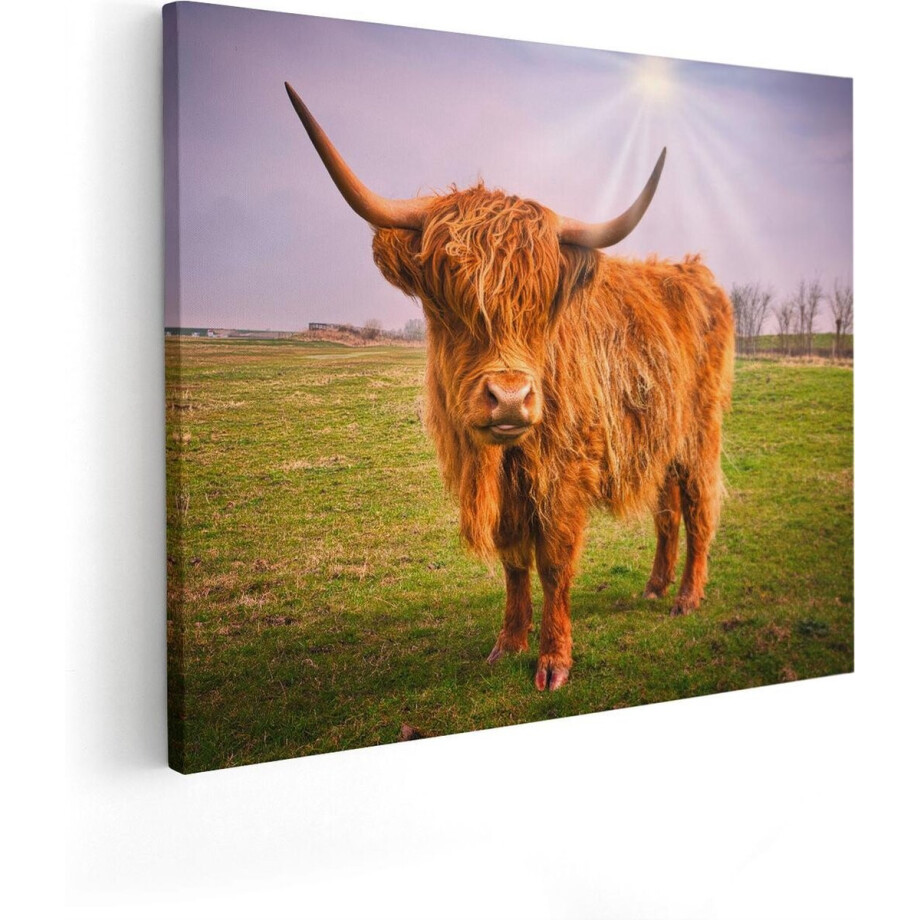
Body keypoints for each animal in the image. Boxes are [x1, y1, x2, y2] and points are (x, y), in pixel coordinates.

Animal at [285, 83, 734, 691]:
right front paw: (508, 645)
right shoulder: (508, 491)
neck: (506, 458)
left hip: (699, 432)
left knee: (697, 505)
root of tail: (692, 272)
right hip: (660, 435)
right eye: (446, 298)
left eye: (543, 303)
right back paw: (655, 586)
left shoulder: (566, 470)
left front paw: (553, 661)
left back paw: (687, 596)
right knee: (667, 509)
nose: (511, 398)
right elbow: (515, 561)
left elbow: (554, 562)